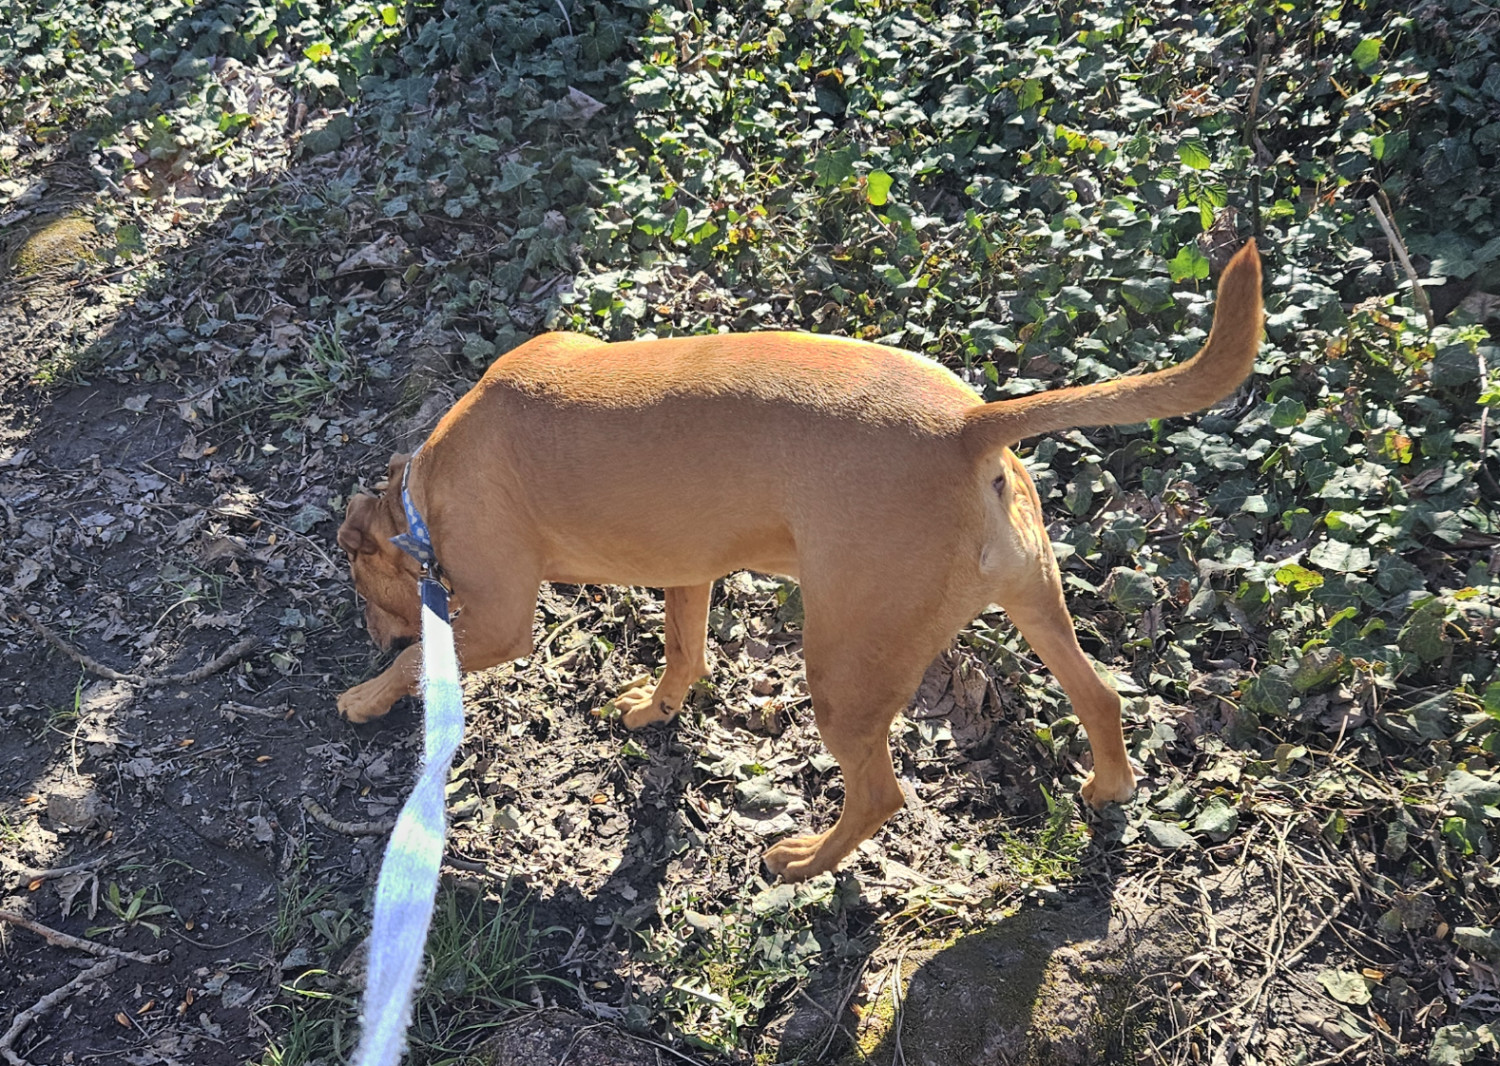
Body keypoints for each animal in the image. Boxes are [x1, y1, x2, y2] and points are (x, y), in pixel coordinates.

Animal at [340, 241, 1266, 881]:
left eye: (359, 591)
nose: (373, 639)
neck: (421, 492)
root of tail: (970, 426)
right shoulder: (691, 572)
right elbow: (684, 654)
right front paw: (655, 709)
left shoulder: (500, 620)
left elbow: (426, 660)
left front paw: (368, 694)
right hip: (1031, 599)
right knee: (1101, 695)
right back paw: (1108, 790)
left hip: (844, 670)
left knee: (881, 795)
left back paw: (804, 863)